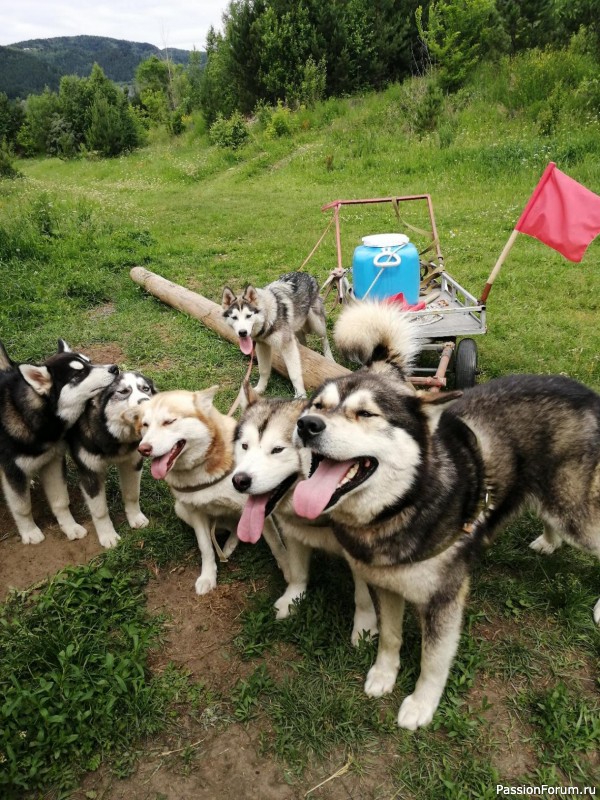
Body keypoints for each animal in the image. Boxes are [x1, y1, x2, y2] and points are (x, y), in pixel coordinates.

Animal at [0, 340, 119, 548]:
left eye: (89, 362)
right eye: (79, 374)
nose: (114, 368)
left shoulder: (53, 461)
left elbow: (60, 500)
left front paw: (69, 527)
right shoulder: (13, 470)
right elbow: (22, 507)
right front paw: (29, 532)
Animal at [67, 370, 158, 548]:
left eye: (146, 389)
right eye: (123, 392)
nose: (146, 403)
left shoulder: (133, 463)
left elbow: (132, 494)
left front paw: (135, 518)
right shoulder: (90, 473)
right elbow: (100, 510)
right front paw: (108, 535)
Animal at [124, 384, 288, 596]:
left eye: (169, 422)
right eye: (145, 425)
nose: (143, 449)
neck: (201, 469)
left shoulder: (259, 511)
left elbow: (276, 544)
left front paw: (289, 572)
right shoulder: (195, 512)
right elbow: (206, 548)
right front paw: (208, 577)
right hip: (181, 509)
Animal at [292, 304, 600, 728]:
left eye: (366, 414)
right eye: (318, 406)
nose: (306, 425)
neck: (405, 504)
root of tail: (586, 392)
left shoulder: (445, 599)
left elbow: (433, 661)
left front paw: (421, 705)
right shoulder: (387, 585)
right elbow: (390, 636)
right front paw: (383, 675)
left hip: (574, 511)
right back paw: (548, 543)